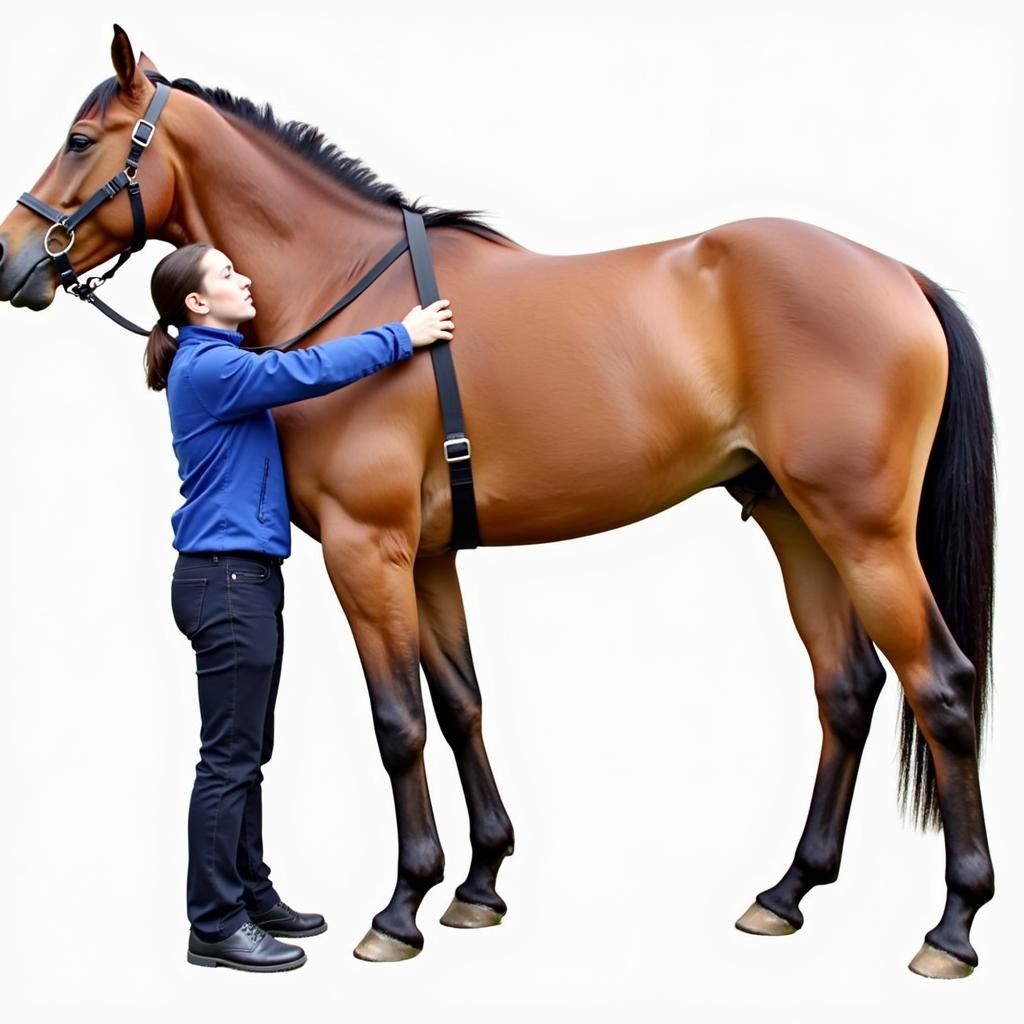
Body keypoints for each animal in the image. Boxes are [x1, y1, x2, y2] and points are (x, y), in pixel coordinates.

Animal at [0, 25, 995, 974]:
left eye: (79, 140)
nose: (13, 260)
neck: (349, 289)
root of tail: (897, 274)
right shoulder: (428, 556)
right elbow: (459, 704)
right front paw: (478, 883)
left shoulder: (367, 551)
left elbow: (397, 722)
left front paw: (401, 907)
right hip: (796, 521)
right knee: (848, 687)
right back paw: (786, 893)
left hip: (865, 533)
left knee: (941, 688)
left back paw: (952, 926)